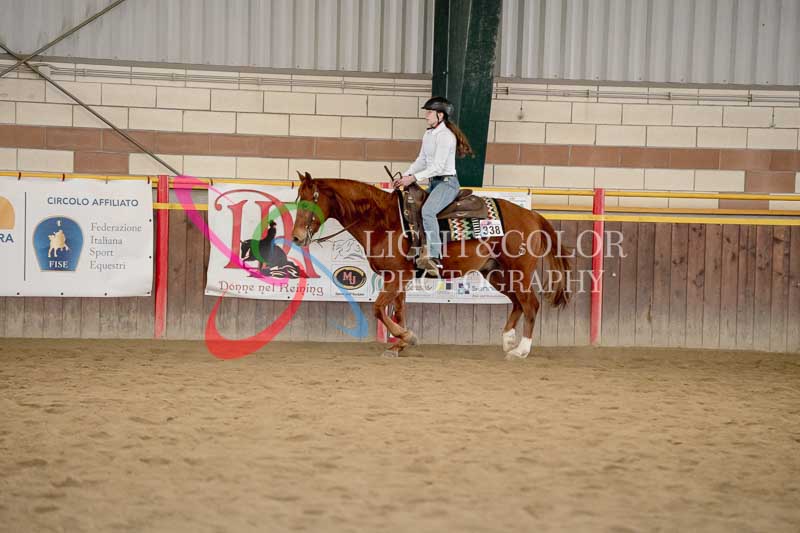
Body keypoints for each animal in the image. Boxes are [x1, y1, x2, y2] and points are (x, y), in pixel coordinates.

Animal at [291, 171, 572, 359]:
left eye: (309, 199)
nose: (295, 237)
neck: (383, 219)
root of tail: (532, 215)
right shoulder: (397, 278)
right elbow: (398, 311)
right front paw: (398, 344)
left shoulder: (397, 276)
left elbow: (379, 309)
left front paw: (407, 337)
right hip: (495, 272)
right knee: (517, 303)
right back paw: (508, 340)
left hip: (519, 271)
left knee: (531, 304)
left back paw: (521, 349)